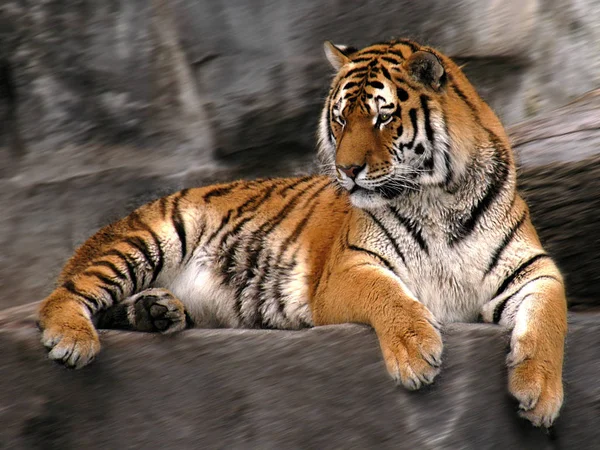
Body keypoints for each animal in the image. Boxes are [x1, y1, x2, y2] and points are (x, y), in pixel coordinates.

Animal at [38, 37, 568, 426]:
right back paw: (74, 339)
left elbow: (549, 321)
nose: (348, 170)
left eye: (383, 117)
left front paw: (540, 393)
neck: (437, 198)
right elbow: (390, 297)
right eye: (340, 118)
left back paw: (156, 311)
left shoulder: (533, 271)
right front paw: (417, 352)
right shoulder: (348, 268)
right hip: (154, 234)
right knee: (65, 294)